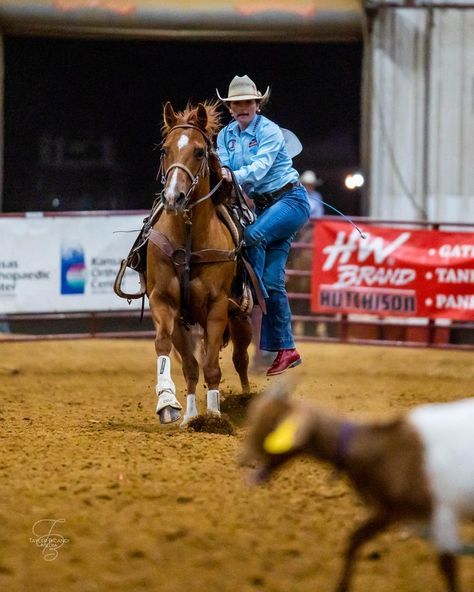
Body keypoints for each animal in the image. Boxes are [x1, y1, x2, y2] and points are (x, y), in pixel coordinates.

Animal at [147, 102, 252, 426]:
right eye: (164, 150)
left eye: (199, 152)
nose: (174, 197)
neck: (189, 238)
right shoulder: (164, 301)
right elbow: (175, 355)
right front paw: (174, 407)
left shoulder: (217, 307)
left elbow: (212, 367)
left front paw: (215, 415)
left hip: (239, 319)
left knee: (240, 359)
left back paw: (246, 400)